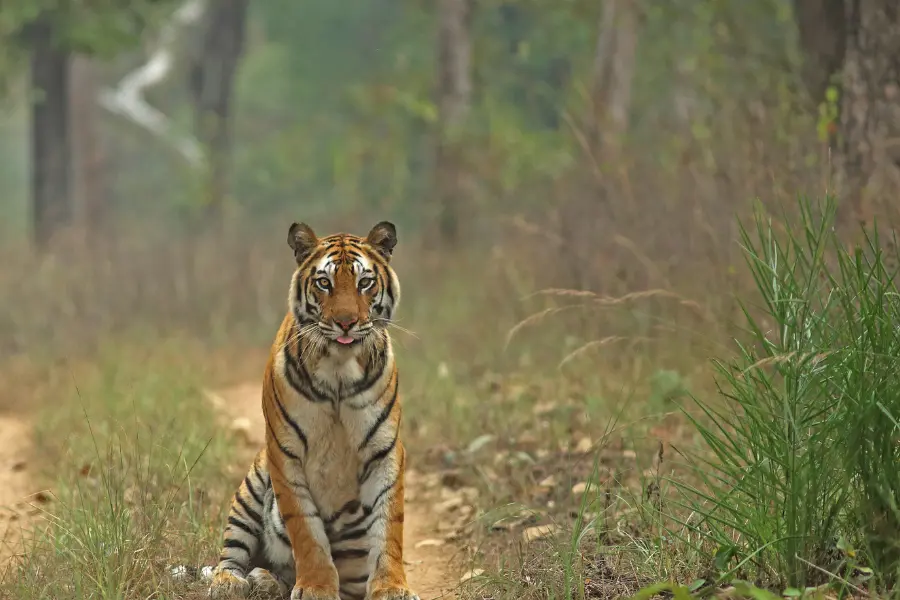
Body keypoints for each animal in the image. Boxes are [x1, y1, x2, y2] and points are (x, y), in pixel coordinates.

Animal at [204, 221, 416, 600]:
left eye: (365, 282)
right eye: (324, 283)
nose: (346, 322)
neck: (339, 370)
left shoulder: (385, 450)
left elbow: (389, 525)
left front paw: (392, 588)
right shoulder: (283, 453)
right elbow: (306, 530)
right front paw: (316, 587)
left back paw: (266, 580)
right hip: (251, 485)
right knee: (233, 552)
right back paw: (232, 582)